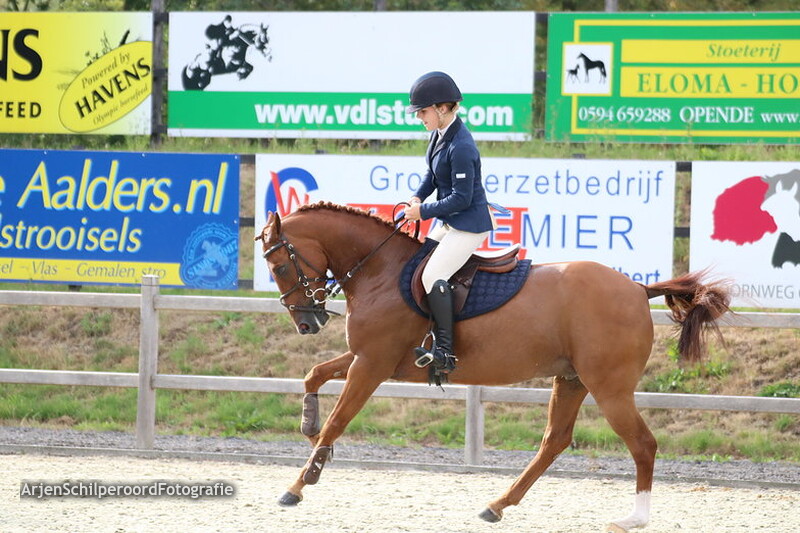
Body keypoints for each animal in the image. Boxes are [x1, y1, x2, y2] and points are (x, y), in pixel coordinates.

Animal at [255, 202, 731, 532]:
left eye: (278, 265)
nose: (307, 323)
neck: (380, 270)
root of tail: (636, 288)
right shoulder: (370, 359)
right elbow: (314, 376)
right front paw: (309, 430)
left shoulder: (371, 365)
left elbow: (339, 419)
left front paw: (299, 484)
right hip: (571, 379)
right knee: (554, 441)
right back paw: (497, 505)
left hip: (609, 388)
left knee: (642, 444)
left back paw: (635, 518)